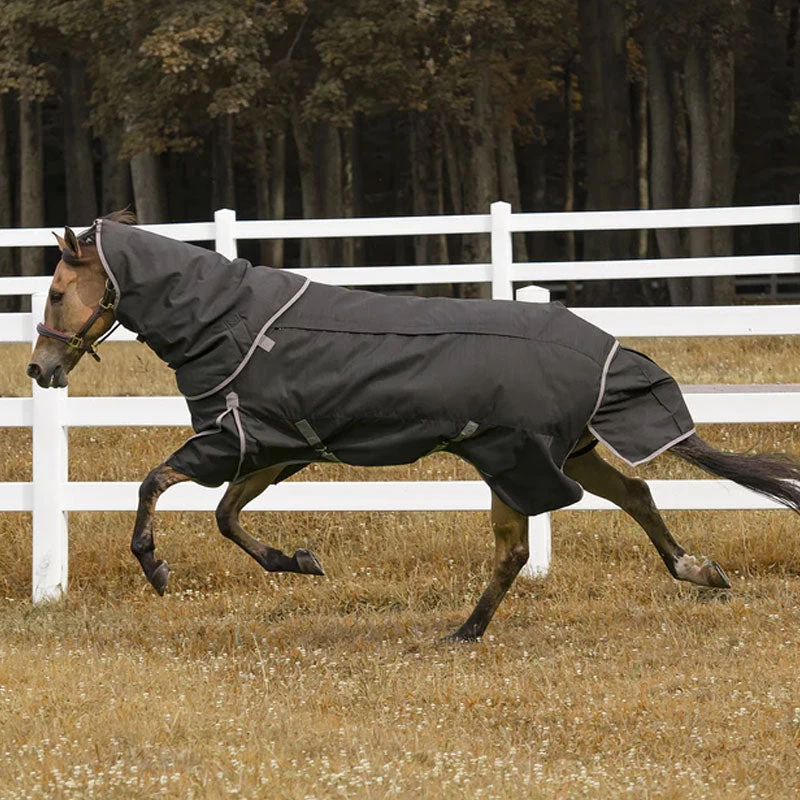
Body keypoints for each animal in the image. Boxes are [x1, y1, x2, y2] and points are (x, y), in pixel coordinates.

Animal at [26, 212, 800, 641]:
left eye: (58, 293)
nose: (38, 369)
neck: (229, 322)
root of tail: (608, 352)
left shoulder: (236, 441)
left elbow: (155, 483)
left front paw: (155, 566)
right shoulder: (279, 447)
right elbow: (225, 516)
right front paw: (299, 561)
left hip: (512, 459)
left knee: (519, 549)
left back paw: (466, 631)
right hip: (558, 453)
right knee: (631, 496)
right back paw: (696, 571)